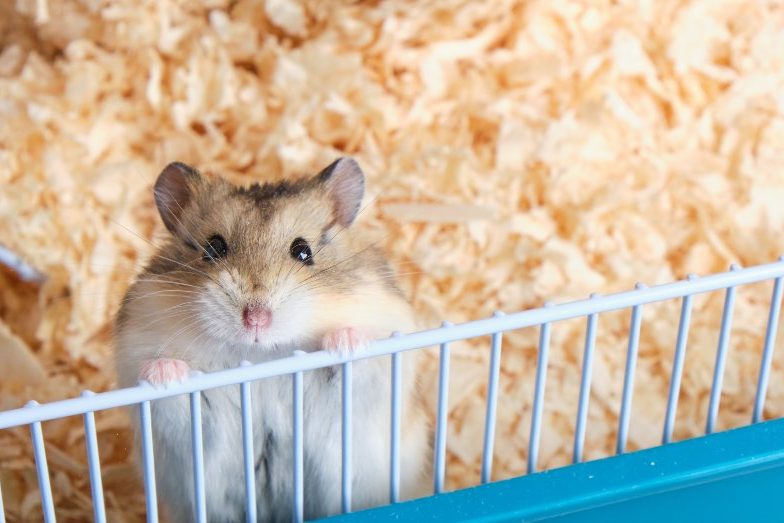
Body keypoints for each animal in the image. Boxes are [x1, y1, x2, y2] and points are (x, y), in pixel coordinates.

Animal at [113, 158, 431, 522]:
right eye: (213, 248)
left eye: (303, 251)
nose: (256, 319)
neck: (262, 356)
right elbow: (173, 395)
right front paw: (165, 373)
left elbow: (355, 366)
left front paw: (346, 342)